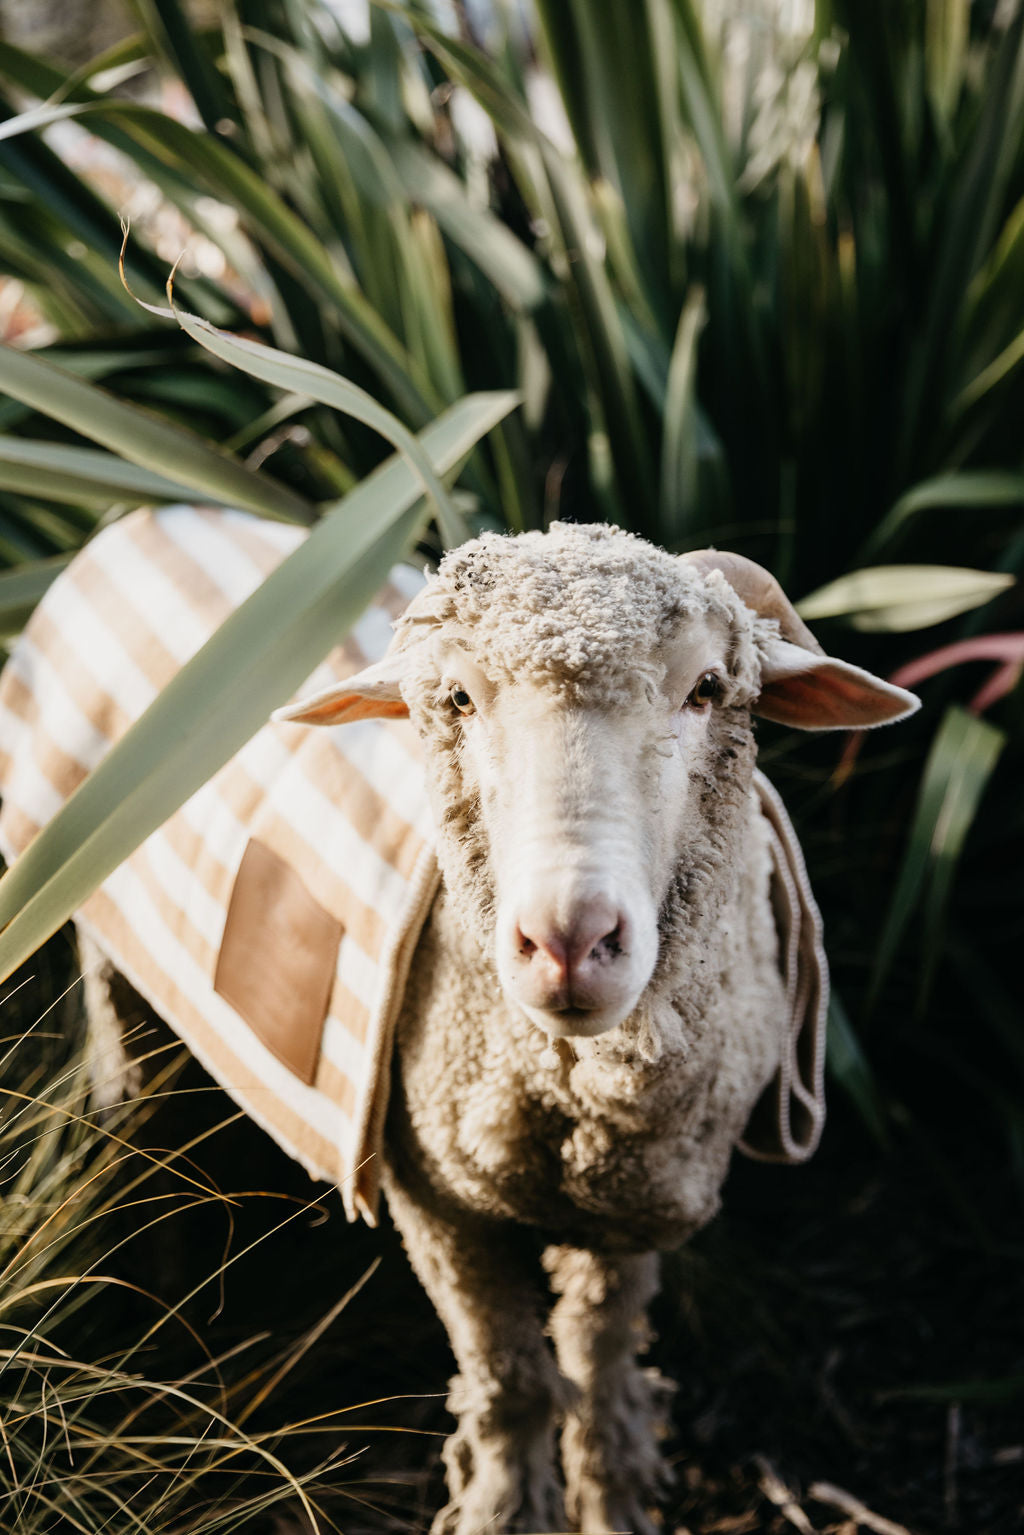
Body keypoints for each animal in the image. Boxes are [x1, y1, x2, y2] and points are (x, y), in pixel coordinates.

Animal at [0, 515, 914, 1535]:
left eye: (708, 688)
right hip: (97, 940)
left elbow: (599, 1368)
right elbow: (513, 1383)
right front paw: (505, 1508)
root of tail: (136, 523)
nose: (569, 939)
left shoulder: (631, 1208)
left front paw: (611, 1496)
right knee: (133, 1091)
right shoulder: (437, 1204)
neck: (575, 1096)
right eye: (458, 698)